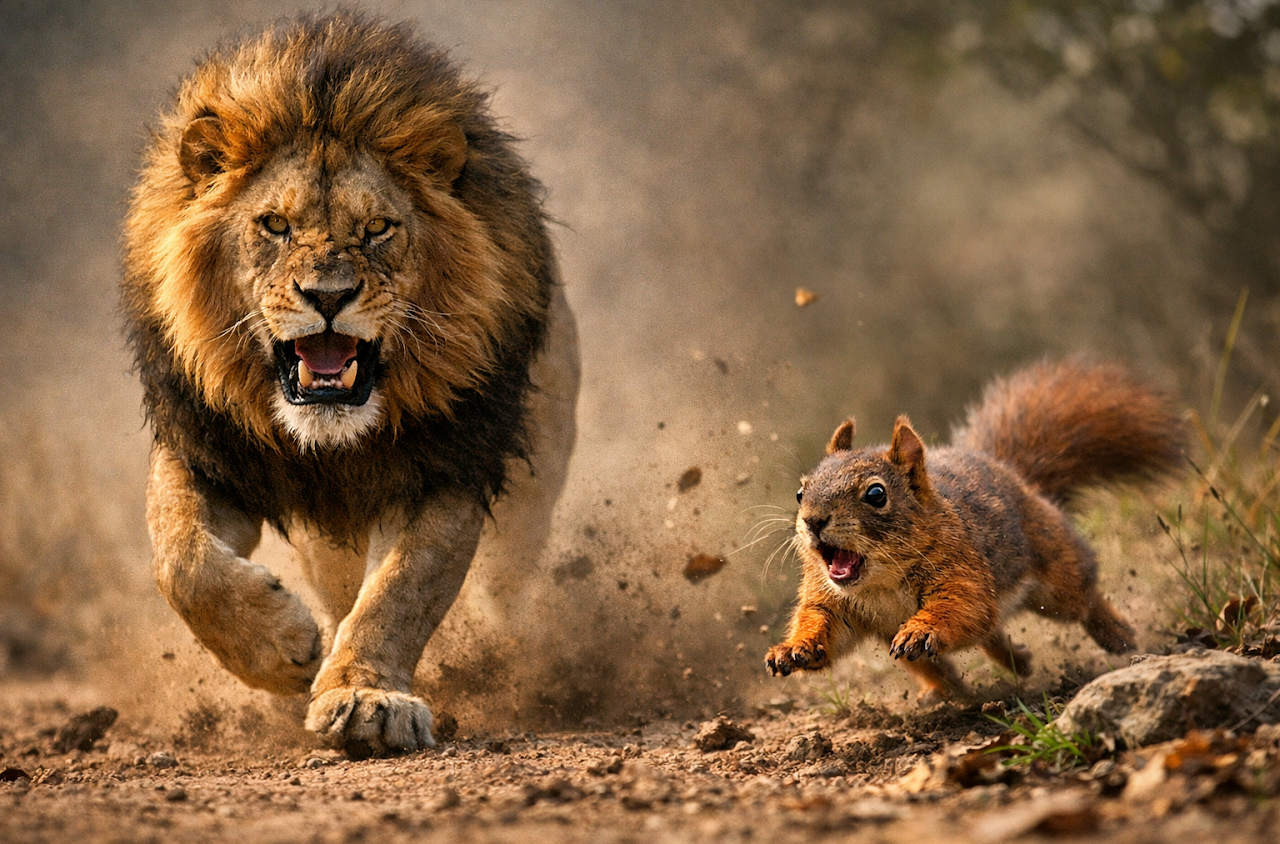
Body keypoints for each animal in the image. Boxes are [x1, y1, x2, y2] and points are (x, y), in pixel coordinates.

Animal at [121, 12, 579, 756]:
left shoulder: (445, 463)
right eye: (275, 225)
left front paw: (366, 697)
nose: (328, 296)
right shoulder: (207, 448)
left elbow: (399, 591)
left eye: (378, 228)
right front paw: (285, 648)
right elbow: (182, 562)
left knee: (501, 581)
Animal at [765, 358, 1185, 700]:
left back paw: (1116, 633)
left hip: (1057, 577)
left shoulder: (960, 570)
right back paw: (971, 681)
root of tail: (1016, 476)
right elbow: (822, 625)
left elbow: (961, 606)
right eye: (800, 492)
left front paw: (921, 630)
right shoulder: (831, 601)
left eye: (876, 494)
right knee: (977, 638)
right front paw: (793, 650)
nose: (813, 521)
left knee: (1079, 599)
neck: (878, 583)